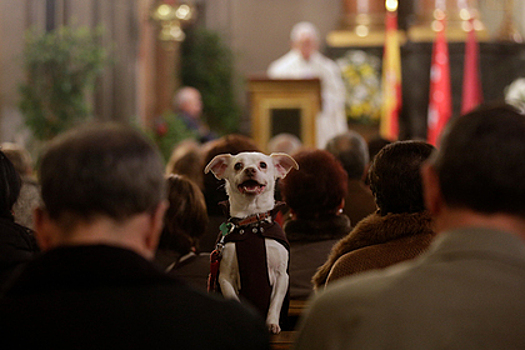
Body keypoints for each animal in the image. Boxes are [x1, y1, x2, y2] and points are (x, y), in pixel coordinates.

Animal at [204, 151, 296, 334]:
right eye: (238, 165)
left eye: (263, 165)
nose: (250, 170)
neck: (251, 221)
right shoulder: (225, 277)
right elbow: (235, 299)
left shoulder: (281, 276)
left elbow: (275, 304)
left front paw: (272, 323)